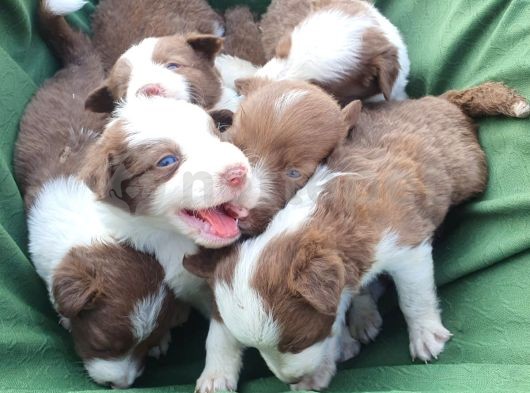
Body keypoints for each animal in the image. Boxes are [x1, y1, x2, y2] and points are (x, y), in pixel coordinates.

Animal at [186, 82, 528, 388]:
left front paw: (426, 335)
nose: (290, 379)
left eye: (298, 342)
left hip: (469, 170)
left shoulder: (407, 246)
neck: (319, 224)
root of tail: (438, 99)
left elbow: (413, 298)